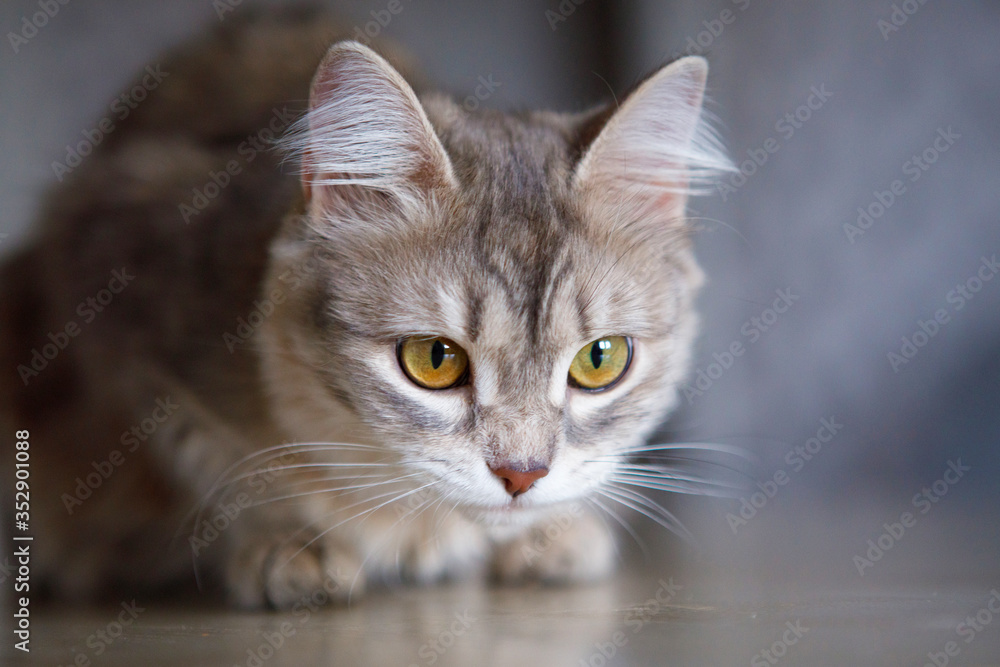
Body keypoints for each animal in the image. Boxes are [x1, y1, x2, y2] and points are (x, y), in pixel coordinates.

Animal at [0, 6, 736, 612]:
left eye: (600, 360)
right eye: (434, 360)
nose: (521, 476)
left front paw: (552, 531)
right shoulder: (111, 291)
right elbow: (210, 462)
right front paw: (289, 541)